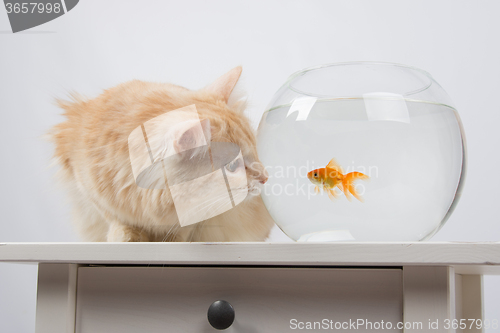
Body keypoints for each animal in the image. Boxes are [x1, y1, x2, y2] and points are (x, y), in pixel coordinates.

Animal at [49, 66, 276, 240]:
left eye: (255, 150)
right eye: (232, 166)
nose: (265, 178)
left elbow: (184, 229)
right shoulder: (83, 179)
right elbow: (115, 217)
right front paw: (125, 236)